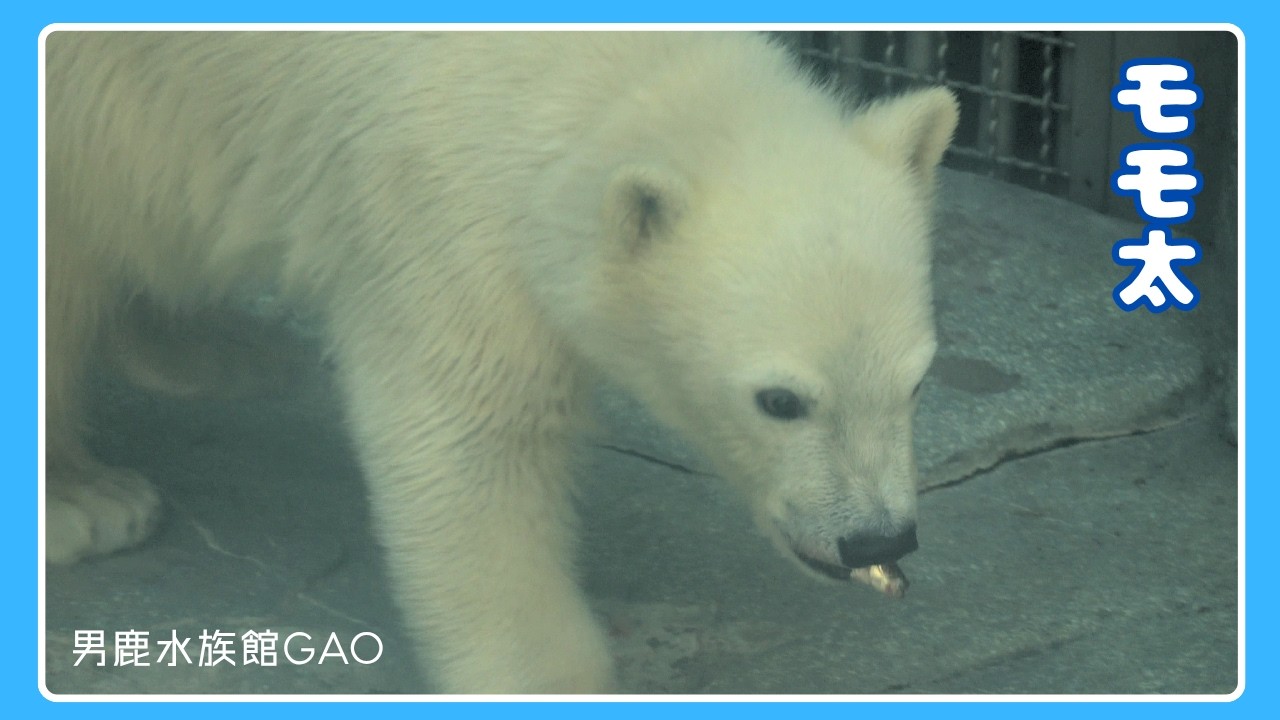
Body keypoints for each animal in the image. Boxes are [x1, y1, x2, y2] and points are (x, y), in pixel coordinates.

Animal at [44, 31, 958, 693]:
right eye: (780, 400)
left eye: (917, 380)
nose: (877, 539)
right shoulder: (447, 204)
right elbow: (467, 444)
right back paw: (88, 499)